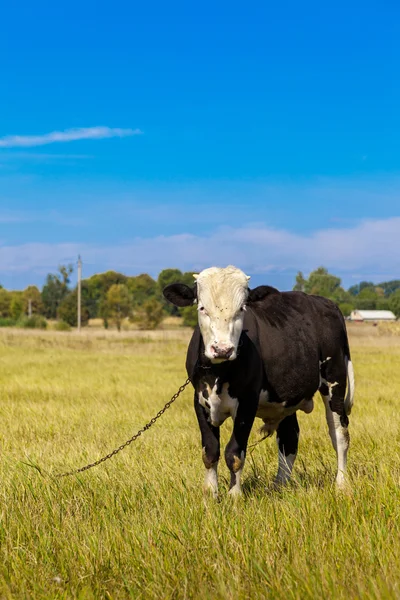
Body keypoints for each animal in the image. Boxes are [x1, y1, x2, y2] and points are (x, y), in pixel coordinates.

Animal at [162, 266, 354, 496]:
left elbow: (234, 453)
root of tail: (324, 302)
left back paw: (342, 484)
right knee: (289, 438)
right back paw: (279, 486)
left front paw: (234, 496)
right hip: (286, 398)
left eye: (241, 308)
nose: (222, 349)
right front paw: (210, 494)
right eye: (202, 308)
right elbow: (210, 451)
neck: (219, 372)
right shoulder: (199, 400)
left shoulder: (247, 403)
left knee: (339, 434)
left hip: (335, 381)